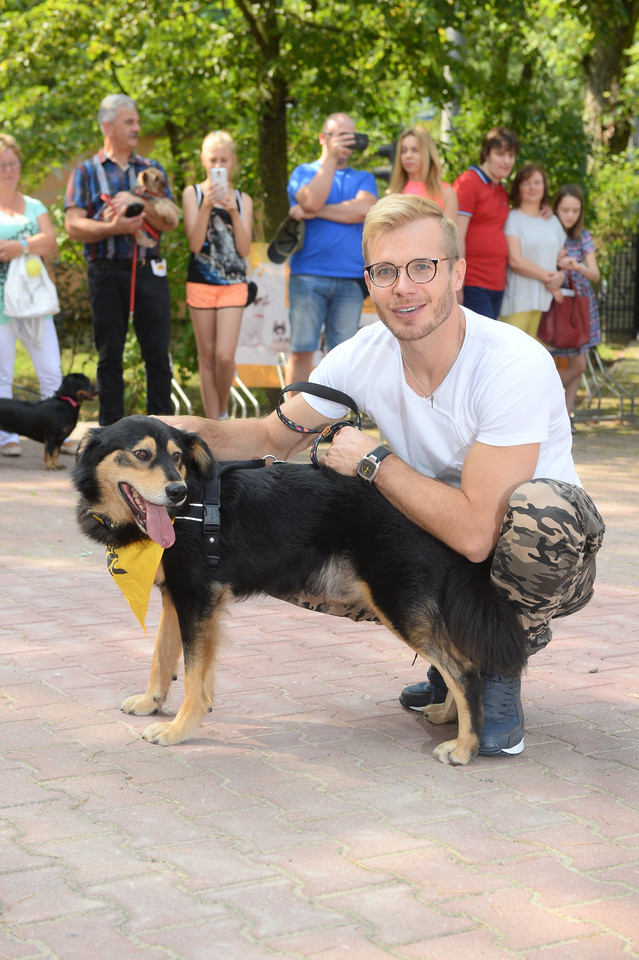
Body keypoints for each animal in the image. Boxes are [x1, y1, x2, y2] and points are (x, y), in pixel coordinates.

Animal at [72, 414, 528, 764]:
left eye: (178, 458)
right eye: (143, 454)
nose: (177, 491)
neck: (192, 511)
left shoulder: (197, 598)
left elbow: (193, 673)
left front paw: (180, 728)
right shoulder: (177, 595)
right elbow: (163, 657)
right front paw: (152, 703)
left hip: (395, 602)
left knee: (464, 669)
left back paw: (466, 747)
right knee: (464, 659)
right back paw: (449, 717)